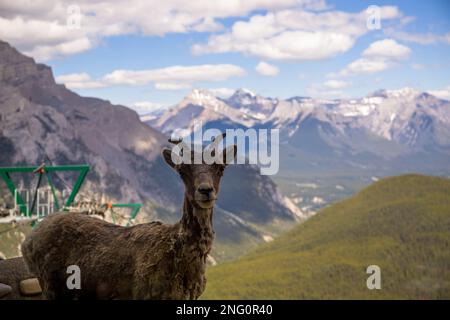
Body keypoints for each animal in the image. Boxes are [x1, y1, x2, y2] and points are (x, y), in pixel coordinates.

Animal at [20, 134, 237, 298]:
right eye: (182, 170)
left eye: (221, 167)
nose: (205, 190)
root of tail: (27, 241)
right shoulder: (143, 294)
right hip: (49, 285)